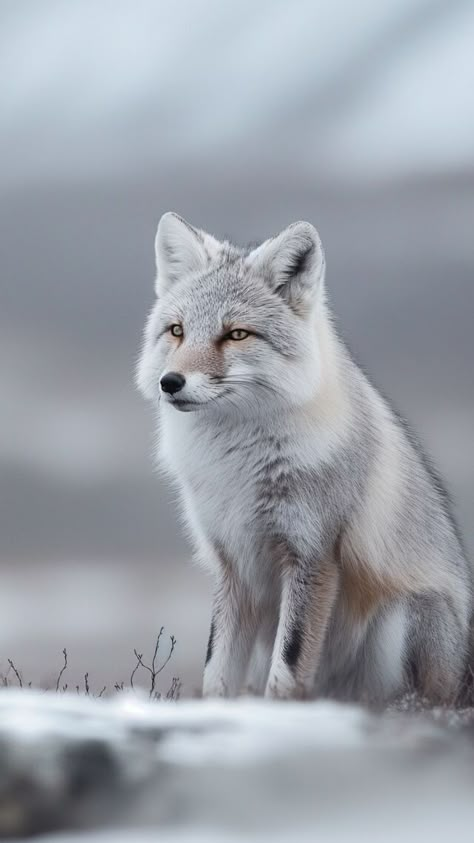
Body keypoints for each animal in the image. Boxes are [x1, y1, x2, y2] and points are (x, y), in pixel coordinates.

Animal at [136, 213, 470, 704]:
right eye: (177, 330)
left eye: (236, 334)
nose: (170, 382)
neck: (237, 465)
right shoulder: (232, 563)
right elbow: (218, 670)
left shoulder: (312, 555)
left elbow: (289, 667)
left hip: (407, 618)